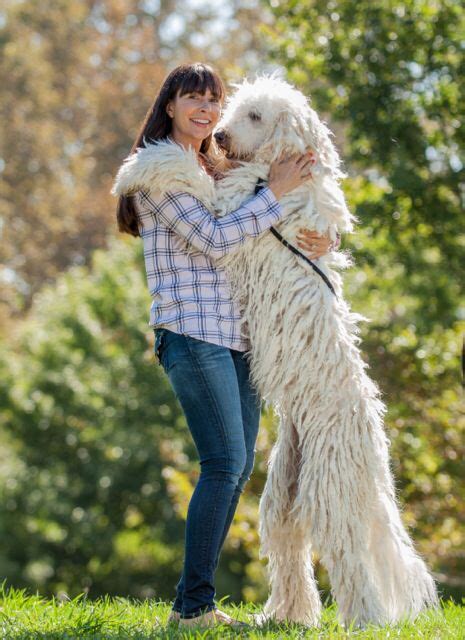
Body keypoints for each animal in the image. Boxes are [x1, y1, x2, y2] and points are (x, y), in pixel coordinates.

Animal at [210, 74, 438, 624]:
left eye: (255, 116)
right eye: (235, 109)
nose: (219, 136)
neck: (282, 173)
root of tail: (372, 438)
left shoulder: (237, 214)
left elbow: (215, 193)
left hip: (328, 486)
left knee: (348, 555)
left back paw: (365, 620)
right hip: (285, 487)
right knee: (290, 547)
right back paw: (284, 615)